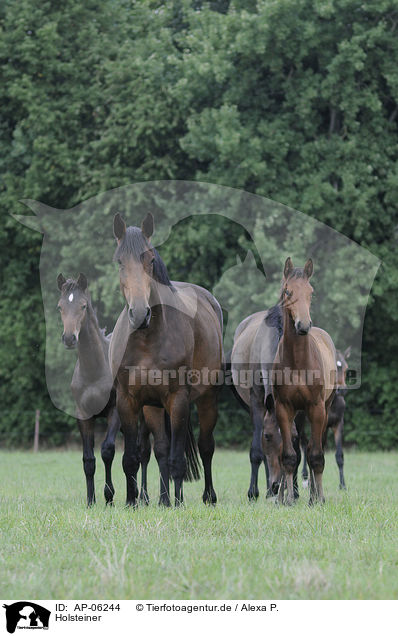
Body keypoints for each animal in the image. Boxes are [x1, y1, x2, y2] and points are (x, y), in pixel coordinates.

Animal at [108, 212, 224, 506]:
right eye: (119, 261)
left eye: (150, 260)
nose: (140, 314)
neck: (146, 339)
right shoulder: (128, 400)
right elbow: (132, 459)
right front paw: (132, 502)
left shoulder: (178, 399)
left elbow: (177, 460)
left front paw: (178, 503)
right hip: (153, 407)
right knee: (160, 449)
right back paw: (163, 499)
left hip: (206, 398)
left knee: (206, 447)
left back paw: (207, 496)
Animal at [274, 256, 336, 504]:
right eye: (287, 291)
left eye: (311, 292)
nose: (303, 326)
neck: (298, 361)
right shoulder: (283, 408)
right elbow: (289, 456)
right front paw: (289, 499)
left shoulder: (317, 408)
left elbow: (316, 455)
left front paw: (318, 499)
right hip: (298, 416)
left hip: (324, 409)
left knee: (312, 448)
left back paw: (314, 495)